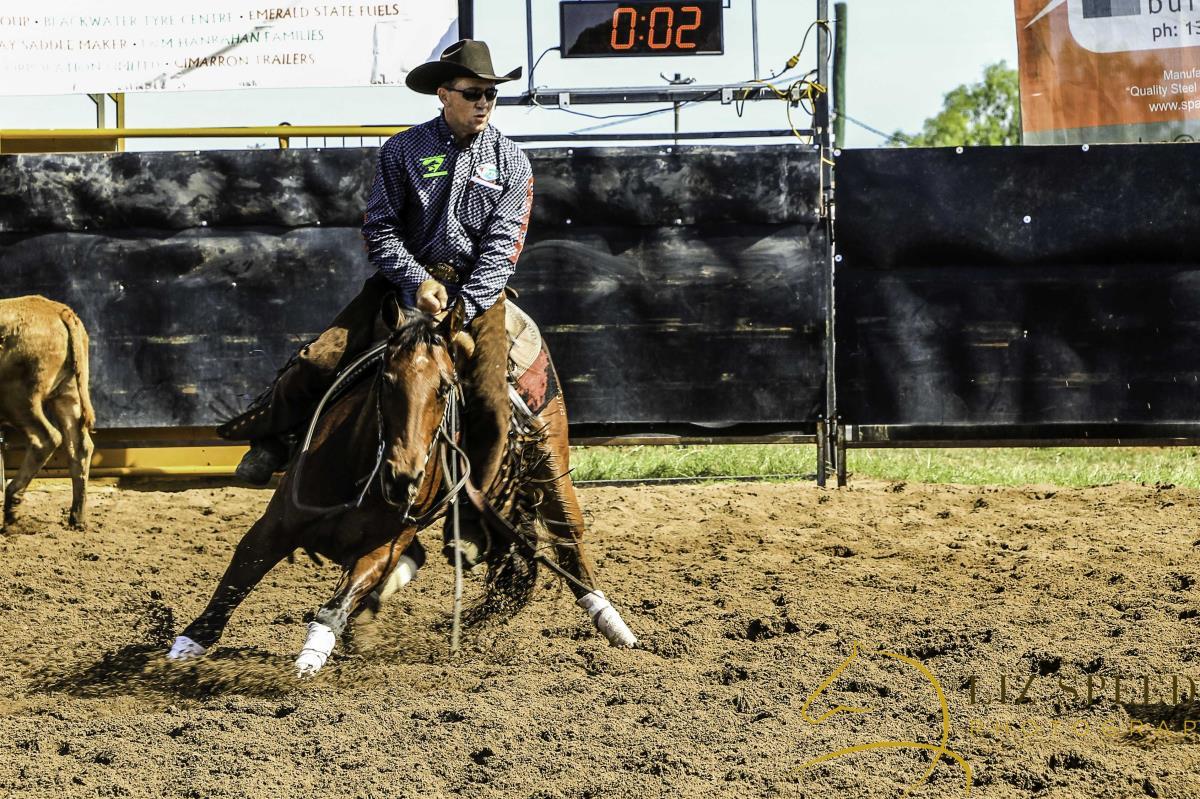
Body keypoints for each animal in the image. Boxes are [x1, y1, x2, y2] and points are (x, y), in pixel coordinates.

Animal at [0, 295, 95, 532]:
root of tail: (59, 310)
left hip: (17, 399)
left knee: (46, 438)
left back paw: (11, 509)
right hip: (67, 393)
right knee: (78, 447)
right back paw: (77, 519)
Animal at [167, 295, 636, 676]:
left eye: (445, 387)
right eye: (387, 380)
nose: (404, 474)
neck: (360, 472)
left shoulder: (381, 547)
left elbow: (336, 604)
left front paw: (308, 659)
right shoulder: (275, 526)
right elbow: (231, 587)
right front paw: (181, 651)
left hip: (549, 457)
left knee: (569, 539)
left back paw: (617, 627)